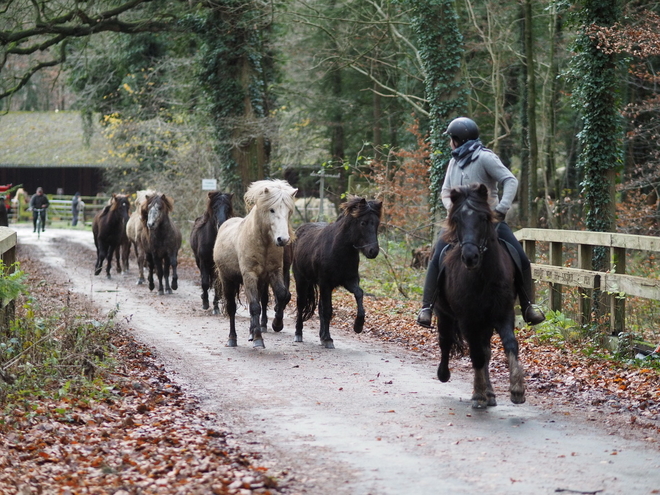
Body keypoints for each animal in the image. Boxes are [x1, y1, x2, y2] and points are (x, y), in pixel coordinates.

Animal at [214, 179, 296, 348]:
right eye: (272, 210)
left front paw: (277, 324)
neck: (263, 243)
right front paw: (258, 338)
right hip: (227, 280)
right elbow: (254, 306)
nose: (283, 239)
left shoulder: (275, 272)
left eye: (289, 212)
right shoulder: (249, 275)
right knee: (232, 308)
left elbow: (282, 295)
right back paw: (232, 339)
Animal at [292, 197, 382, 348]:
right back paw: (298, 334)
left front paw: (358, 325)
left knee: (319, 307)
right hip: (302, 280)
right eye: (363, 223)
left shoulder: (349, 281)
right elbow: (328, 310)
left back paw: (321, 336)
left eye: (377, 223)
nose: (373, 251)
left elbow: (359, 294)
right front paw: (328, 339)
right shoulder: (325, 284)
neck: (338, 249)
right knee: (301, 304)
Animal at [434, 184, 524, 408]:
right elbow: (475, 354)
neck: (483, 276)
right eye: (457, 220)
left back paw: (491, 393)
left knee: (486, 350)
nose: (470, 257)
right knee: (446, 341)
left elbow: (510, 344)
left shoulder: (503, 313)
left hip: (486, 322)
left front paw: (517, 388)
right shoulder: (468, 319)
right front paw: (478, 393)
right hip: (443, 313)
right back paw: (444, 374)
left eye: (483, 218)